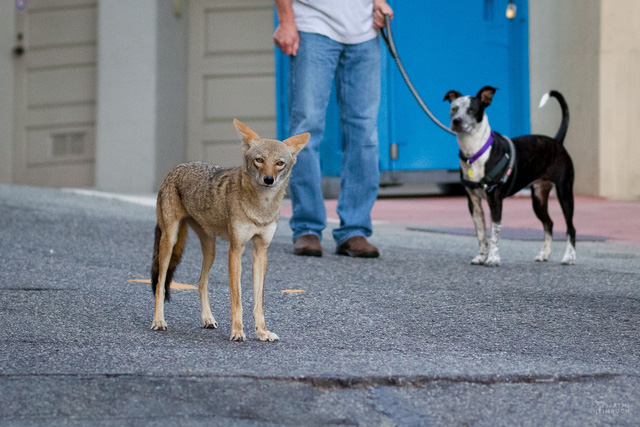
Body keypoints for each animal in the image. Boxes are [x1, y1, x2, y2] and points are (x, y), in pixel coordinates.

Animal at [444, 86, 576, 268]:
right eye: (454, 109)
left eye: (471, 110)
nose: (456, 121)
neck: (475, 152)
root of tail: (557, 142)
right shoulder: (473, 203)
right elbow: (481, 234)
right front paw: (481, 257)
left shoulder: (495, 200)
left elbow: (494, 233)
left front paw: (493, 259)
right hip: (538, 198)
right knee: (549, 223)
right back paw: (544, 254)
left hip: (565, 193)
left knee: (571, 228)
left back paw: (569, 257)